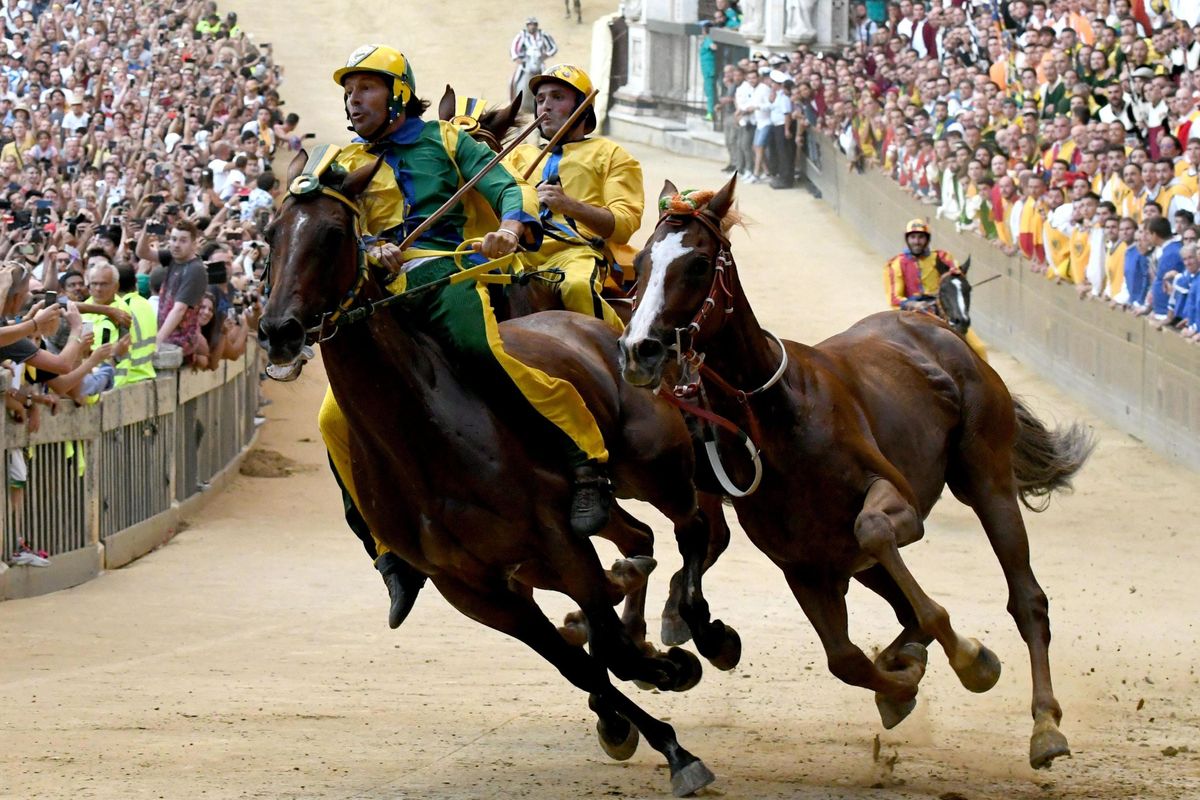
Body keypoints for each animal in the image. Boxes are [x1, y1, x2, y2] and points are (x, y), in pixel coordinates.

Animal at [258, 153, 734, 796]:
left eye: (333, 235)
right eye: (270, 235)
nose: (278, 331)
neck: (424, 440)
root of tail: (607, 331)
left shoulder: (556, 544)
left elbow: (611, 649)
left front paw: (669, 689)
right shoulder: (475, 589)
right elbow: (579, 664)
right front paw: (642, 726)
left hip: (656, 467)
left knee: (694, 531)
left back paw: (700, 630)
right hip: (595, 516)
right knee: (639, 541)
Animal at [619, 178, 1099, 772]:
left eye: (699, 263)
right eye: (642, 262)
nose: (639, 349)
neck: (774, 415)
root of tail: (939, 331)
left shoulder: (897, 503)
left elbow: (880, 538)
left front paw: (968, 658)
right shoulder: (803, 563)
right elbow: (845, 659)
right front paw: (903, 683)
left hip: (986, 478)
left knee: (1026, 598)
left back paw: (1045, 725)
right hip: (856, 558)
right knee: (902, 610)